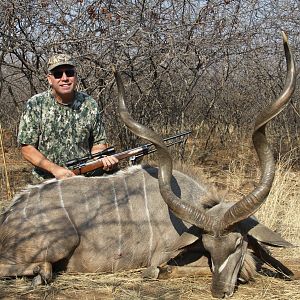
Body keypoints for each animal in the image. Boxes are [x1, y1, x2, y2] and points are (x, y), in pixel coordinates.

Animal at [0, 32, 296, 298]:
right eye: (210, 246)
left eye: (236, 243)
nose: (219, 291)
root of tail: (8, 216)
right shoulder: (161, 256)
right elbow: (169, 269)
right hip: (61, 241)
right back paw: (41, 273)